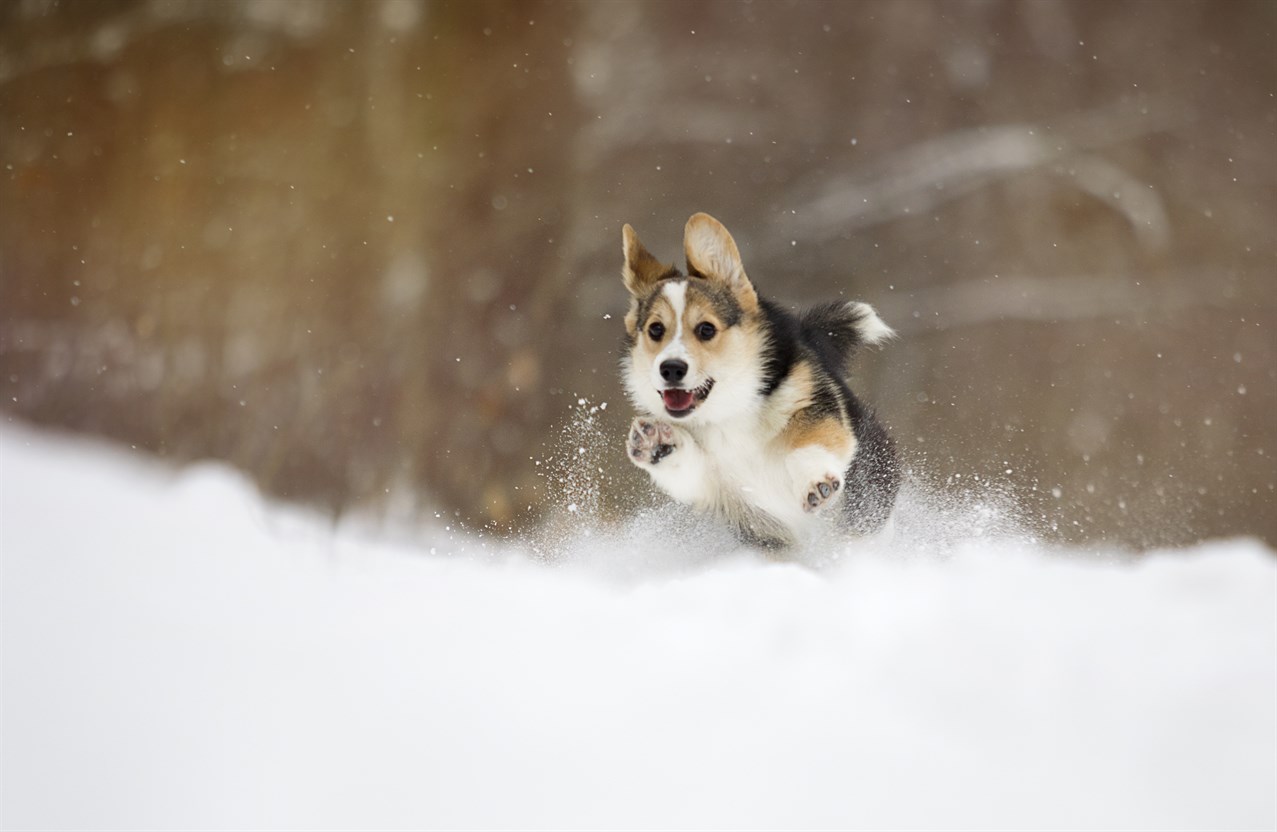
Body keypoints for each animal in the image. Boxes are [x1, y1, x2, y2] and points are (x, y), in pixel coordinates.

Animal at [618, 211, 899, 548]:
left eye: (706, 329)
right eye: (656, 329)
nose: (671, 369)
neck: (729, 411)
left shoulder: (812, 404)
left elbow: (809, 442)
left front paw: (816, 483)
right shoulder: (717, 485)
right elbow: (693, 468)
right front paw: (658, 443)